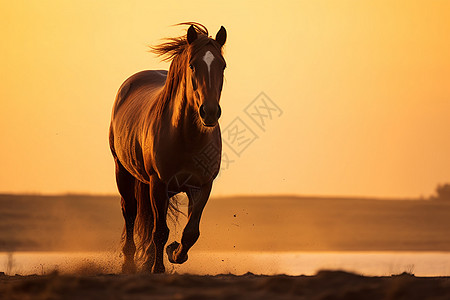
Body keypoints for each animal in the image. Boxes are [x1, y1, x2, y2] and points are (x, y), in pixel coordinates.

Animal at [109, 22, 229, 274]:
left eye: (222, 66)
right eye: (193, 65)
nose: (210, 112)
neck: (186, 137)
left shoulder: (202, 185)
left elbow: (190, 232)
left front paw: (174, 253)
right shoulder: (159, 183)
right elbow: (160, 231)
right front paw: (158, 268)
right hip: (123, 172)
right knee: (130, 212)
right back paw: (130, 263)